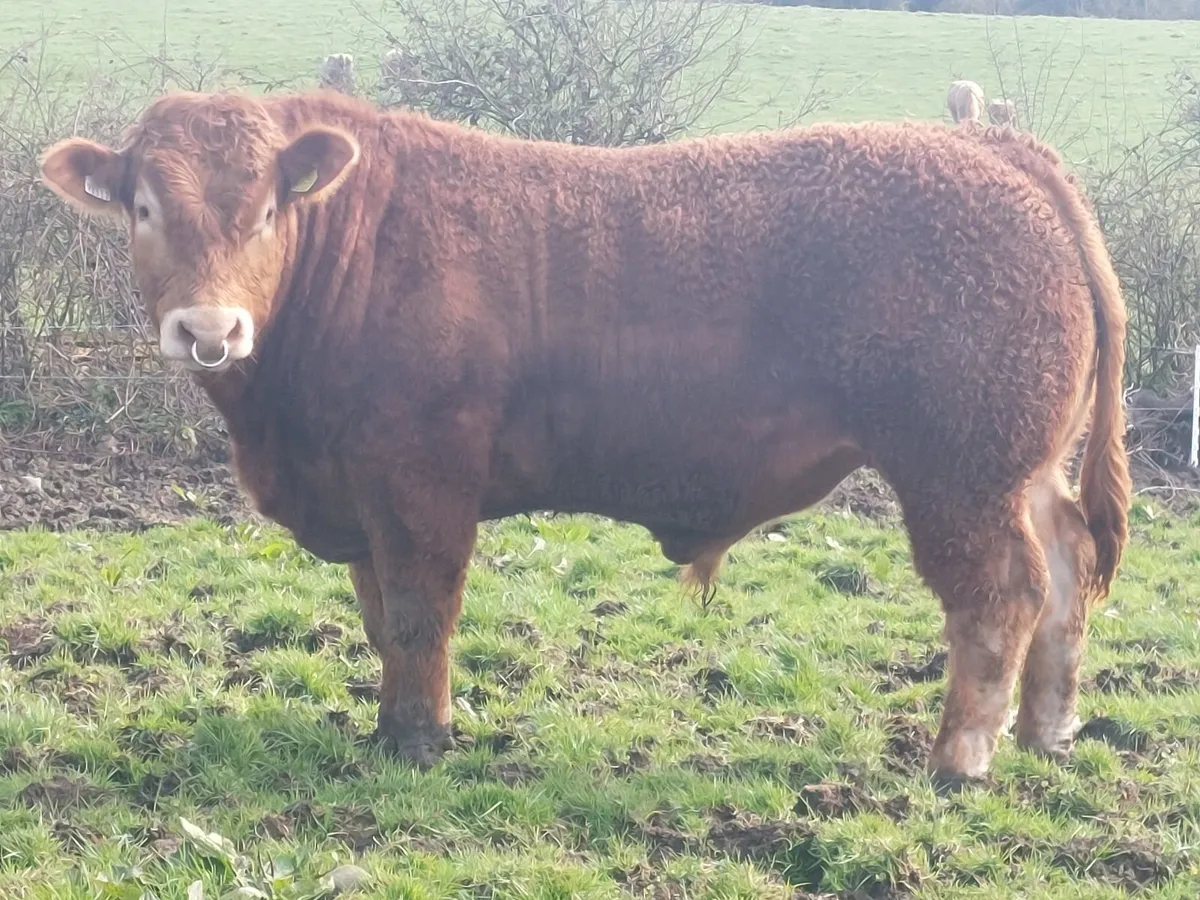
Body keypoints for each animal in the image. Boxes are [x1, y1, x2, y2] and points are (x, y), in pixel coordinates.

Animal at [38, 89, 1131, 784]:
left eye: (268, 207)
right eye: (143, 205)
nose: (209, 328)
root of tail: (995, 149)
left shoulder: (421, 480)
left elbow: (420, 613)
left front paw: (421, 739)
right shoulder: (361, 494)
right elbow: (380, 616)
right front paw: (390, 724)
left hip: (962, 472)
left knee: (999, 595)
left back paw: (961, 759)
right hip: (1023, 468)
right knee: (1066, 569)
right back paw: (1047, 733)